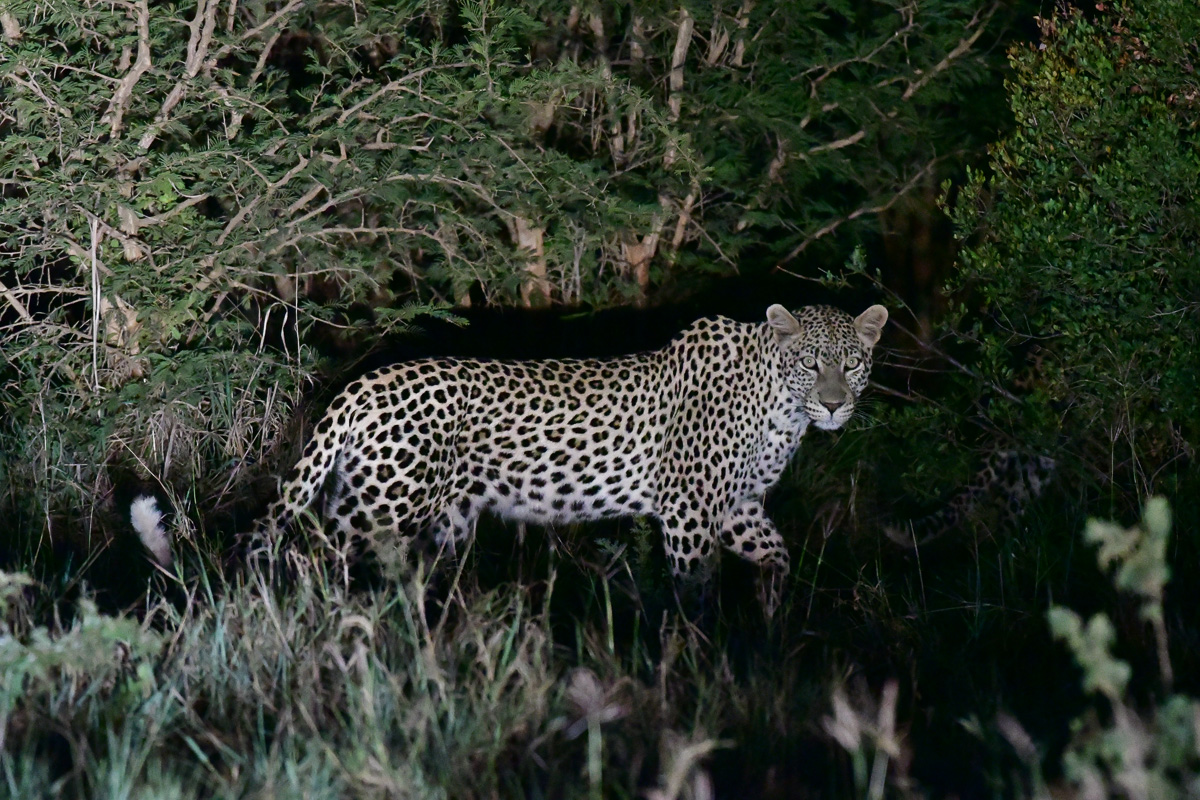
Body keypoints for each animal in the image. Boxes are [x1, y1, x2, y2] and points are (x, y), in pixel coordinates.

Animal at [135, 303, 887, 609]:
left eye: (853, 363)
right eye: (810, 363)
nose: (833, 406)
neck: (780, 410)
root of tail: (363, 383)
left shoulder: (737, 508)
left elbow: (778, 555)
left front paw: (771, 620)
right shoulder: (689, 512)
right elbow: (694, 586)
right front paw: (698, 651)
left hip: (424, 515)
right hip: (383, 509)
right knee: (311, 557)